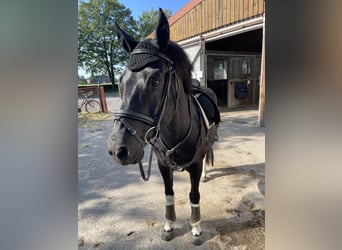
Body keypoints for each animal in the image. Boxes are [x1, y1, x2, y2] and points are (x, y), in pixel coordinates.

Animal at [105, 8, 220, 246]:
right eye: (121, 81)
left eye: (156, 80)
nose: (117, 149)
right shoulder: (163, 165)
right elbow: (168, 193)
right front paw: (169, 226)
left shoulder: (195, 166)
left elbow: (194, 195)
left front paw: (196, 229)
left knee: (208, 154)